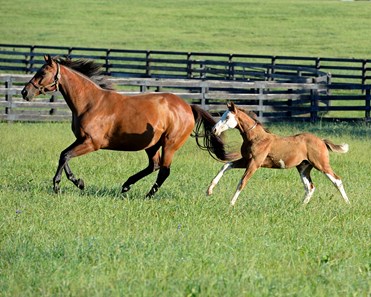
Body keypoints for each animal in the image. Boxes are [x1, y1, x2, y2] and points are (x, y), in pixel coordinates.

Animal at [21, 55, 235, 197]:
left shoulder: (92, 143)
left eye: (42, 72)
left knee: (164, 170)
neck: (91, 103)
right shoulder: (80, 140)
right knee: (154, 166)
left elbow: (65, 156)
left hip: (169, 144)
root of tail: (188, 106)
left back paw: (148, 195)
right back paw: (126, 185)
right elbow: (63, 156)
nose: (25, 92)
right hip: (152, 145)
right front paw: (77, 182)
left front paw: (61, 185)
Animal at [208, 102, 350, 206]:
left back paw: (348, 204)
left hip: (321, 164)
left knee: (337, 180)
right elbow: (226, 165)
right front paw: (209, 191)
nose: (214, 130)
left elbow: (242, 181)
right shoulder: (246, 160)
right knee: (310, 187)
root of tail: (321, 140)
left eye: (227, 117)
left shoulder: (255, 163)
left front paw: (231, 203)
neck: (256, 138)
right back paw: (301, 206)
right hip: (303, 167)